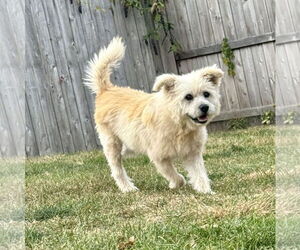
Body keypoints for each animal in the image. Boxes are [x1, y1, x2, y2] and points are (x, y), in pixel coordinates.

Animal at [83, 37, 224, 193]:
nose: (204, 107)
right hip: (112, 143)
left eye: (206, 94)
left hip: (129, 142)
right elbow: (173, 174)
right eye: (188, 97)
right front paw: (176, 183)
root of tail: (107, 90)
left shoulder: (192, 153)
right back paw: (127, 188)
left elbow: (199, 174)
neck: (178, 124)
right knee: (116, 169)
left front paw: (206, 191)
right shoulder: (159, 156)